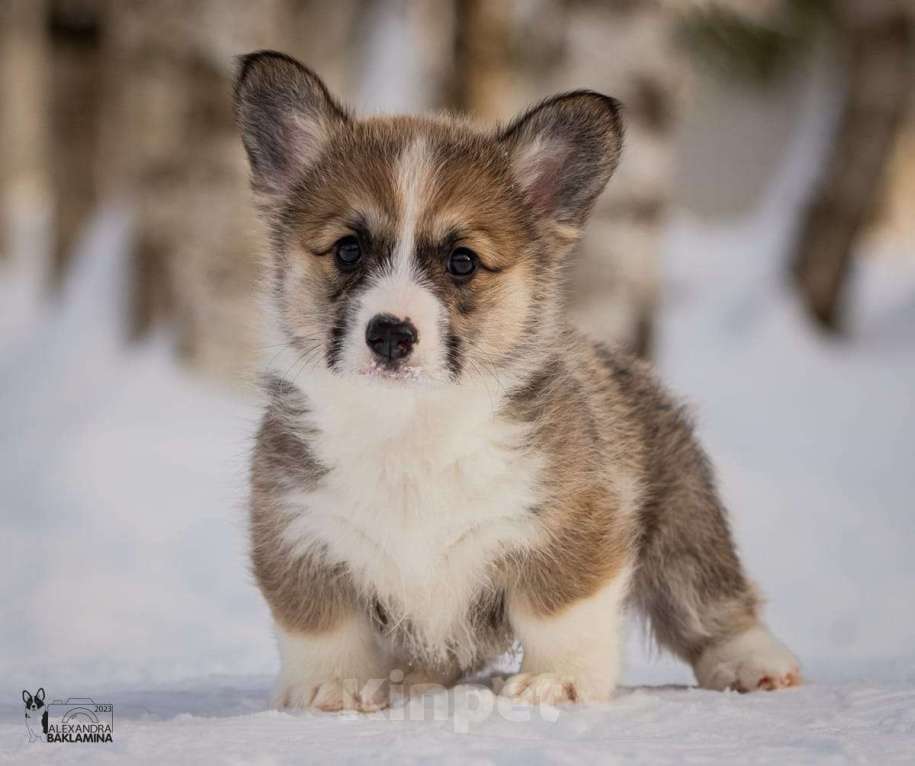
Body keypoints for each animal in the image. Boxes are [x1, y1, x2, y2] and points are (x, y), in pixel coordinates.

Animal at [236, 49, 800, 712]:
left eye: (462, 261)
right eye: (349, 250)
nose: (391, 334)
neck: (411, 426)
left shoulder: (571, 527)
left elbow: (559, 613)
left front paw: (557, 681)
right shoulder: (299, 534)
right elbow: (323, 627)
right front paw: (336, 686)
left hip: (683, 521)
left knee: (709, 596)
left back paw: (754, 661)